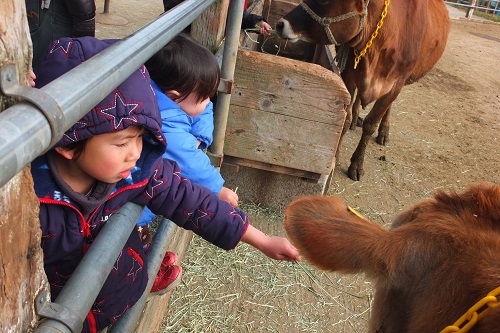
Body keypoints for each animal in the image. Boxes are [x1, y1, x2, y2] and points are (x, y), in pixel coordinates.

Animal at [276, 0, 452, 180]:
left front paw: (357, 164)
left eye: (324, 0)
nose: (281, 24)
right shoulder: (349, 72)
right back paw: (356, 119)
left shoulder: (396, 83)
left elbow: (371, 123)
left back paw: (384, 132)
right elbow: (345, 119)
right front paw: (336, 157)